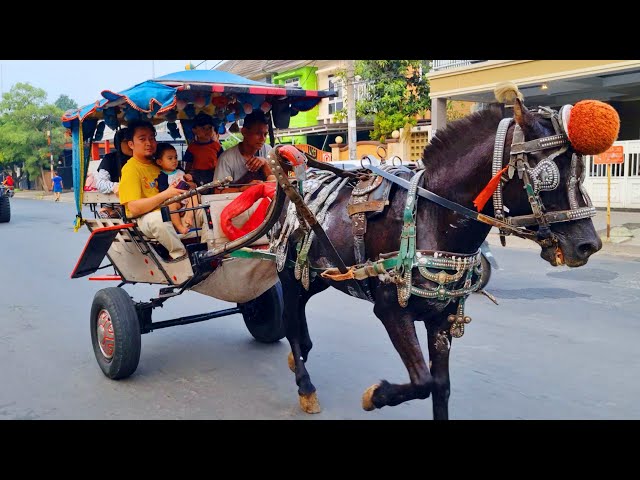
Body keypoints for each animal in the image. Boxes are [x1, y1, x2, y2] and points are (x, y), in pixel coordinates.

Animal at [268, 87, 616, 420]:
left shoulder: (442, 318)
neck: (433, 216)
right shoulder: (390, 309)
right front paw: (375, 395)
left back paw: (298, 358)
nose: (588, 244)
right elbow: (423, 382)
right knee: (290, 323)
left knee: (300, 314)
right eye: (546, 173)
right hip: (288, 273)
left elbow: (441, 387)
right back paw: (305, 385)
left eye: (583, 170)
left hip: (317, 275)